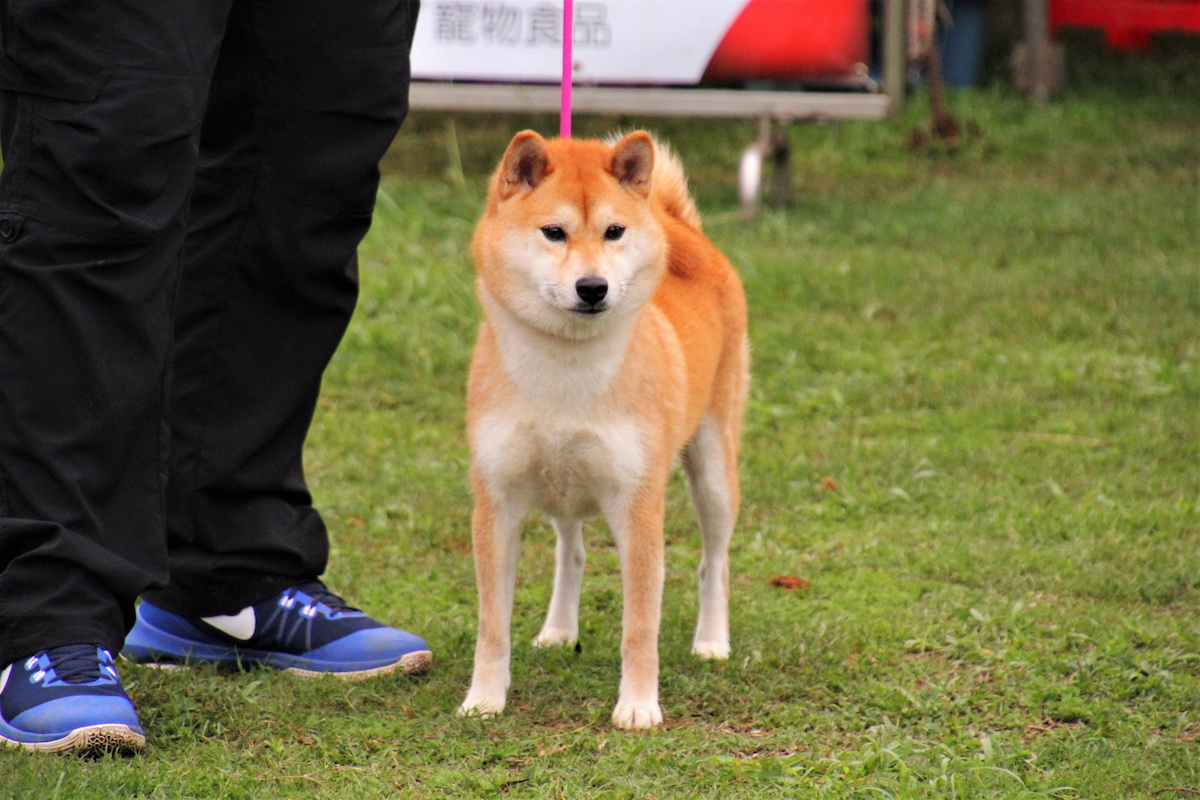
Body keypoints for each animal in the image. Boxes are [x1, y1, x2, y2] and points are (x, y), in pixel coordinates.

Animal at [460, 128, 748, 729]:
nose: (592, 287)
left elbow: (639, 628)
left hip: (713, 470)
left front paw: (637, 706)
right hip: (561, 485)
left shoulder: (637, 506)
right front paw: (484, 698)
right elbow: (492, 625)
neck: (564, 371)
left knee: (714, 562)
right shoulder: (496, 504)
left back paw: (712, 640)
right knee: (571, 551)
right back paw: (558, 629)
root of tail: (685, 231)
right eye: (554, 232)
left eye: (614, 231)